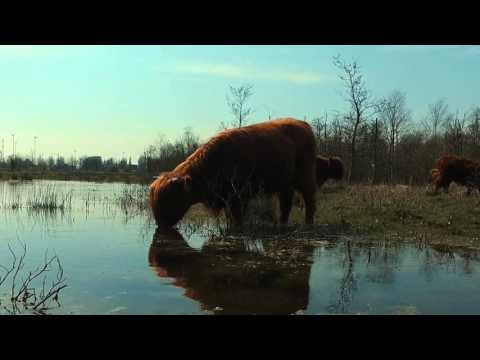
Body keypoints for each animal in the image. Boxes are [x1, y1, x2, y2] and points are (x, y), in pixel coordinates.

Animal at [148, 119, 316, 228]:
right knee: (285, 204)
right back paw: (282, 224)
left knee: (309, 201)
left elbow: (237, 218)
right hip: (285, 183)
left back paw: (308, 224)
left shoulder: (238, 196)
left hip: (306, 177)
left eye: (169, 199)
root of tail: (302, 124)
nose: (160, 225)